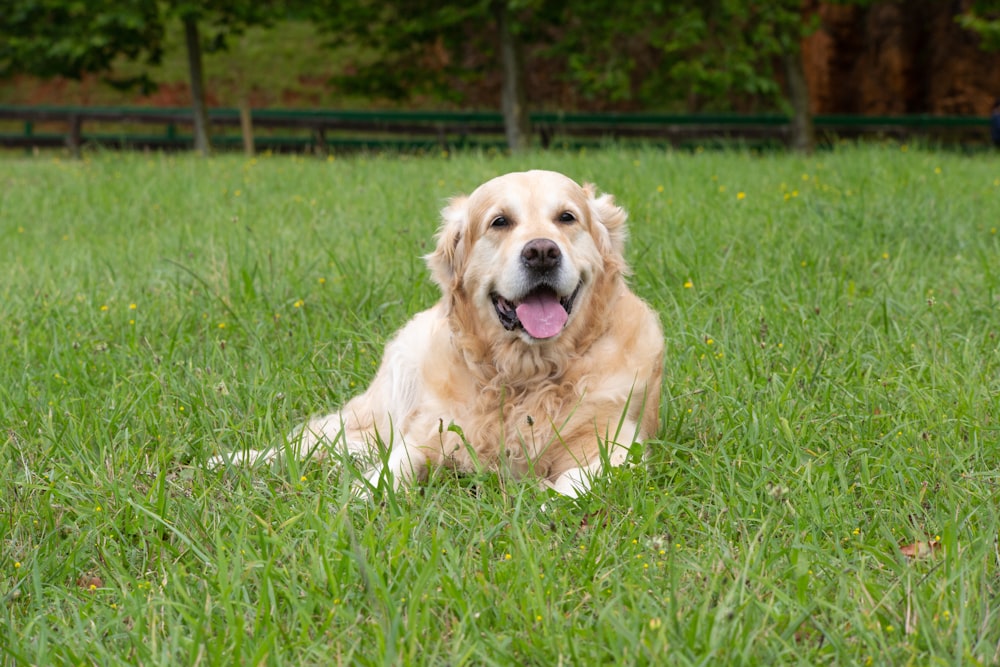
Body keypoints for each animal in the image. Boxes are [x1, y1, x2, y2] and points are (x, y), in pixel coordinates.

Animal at [214, 171, 660, 496]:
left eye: (566, 217)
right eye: (500, 221)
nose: (542, 252)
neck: (525, 377)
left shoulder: (618, 441)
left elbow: (577, 479)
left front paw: (549, 501)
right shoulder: (428, 432)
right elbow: (391, 470)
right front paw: (362, 498)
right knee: (315, 440)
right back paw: (229, 461)